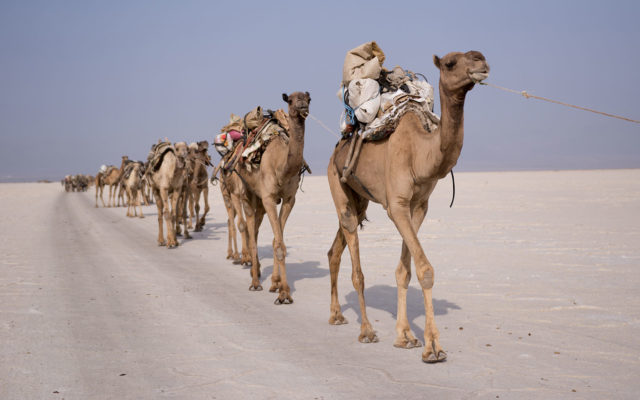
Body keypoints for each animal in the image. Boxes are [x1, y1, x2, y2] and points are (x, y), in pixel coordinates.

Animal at [236, 90, 312, 304]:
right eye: (291, 100)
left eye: (308, 99)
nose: (303, 106)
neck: (282, 166)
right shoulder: (269, 197)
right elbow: (278, 244)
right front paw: (284, 293)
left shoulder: (288, 199)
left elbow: (279, 242)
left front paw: (278, 285)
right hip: (246, 193)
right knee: (251, 232)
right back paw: (255, 282)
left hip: (260, 202)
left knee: (257, 231)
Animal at [328, 50, 488, 362]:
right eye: (450, 63)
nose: (481, 62)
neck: (420, 153)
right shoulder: (397, 205)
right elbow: (425, 269)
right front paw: (433, 347)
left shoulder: (418, 206)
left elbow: (405, 271)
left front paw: (405, 336)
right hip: (336, 181)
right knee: (355, 261)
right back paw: (366, 330)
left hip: (359, 198)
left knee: (335, 249)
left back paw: (336, 315)